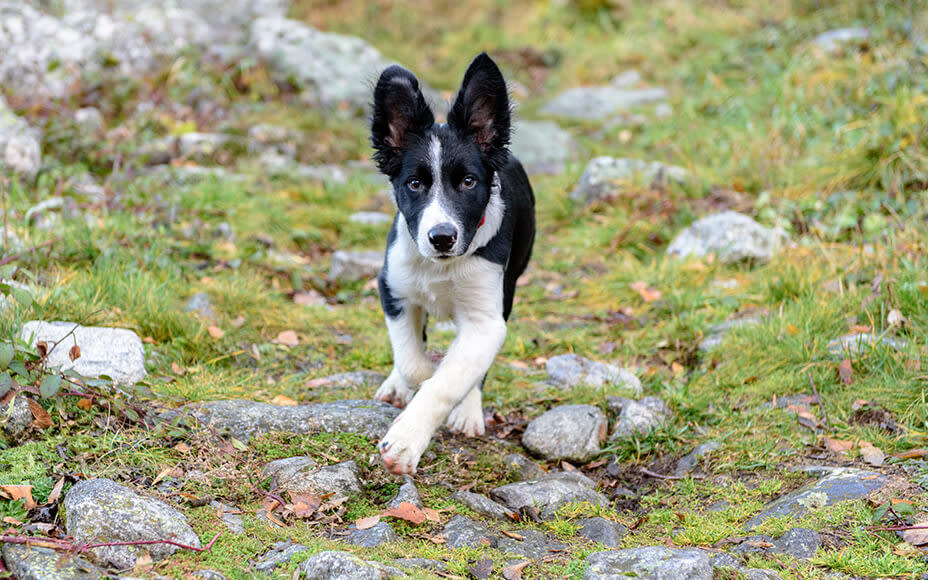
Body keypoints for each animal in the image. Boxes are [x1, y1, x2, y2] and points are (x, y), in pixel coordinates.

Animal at [366, 52, 532, 474]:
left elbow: (451, 379)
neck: (441, 266)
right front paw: (413, 378)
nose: (441, 237)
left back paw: (468, 412)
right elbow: (413, 362)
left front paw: (405, 442)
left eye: (469, 182)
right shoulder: (392, 289)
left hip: (511, 285)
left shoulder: (486, 321)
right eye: (414, 184)